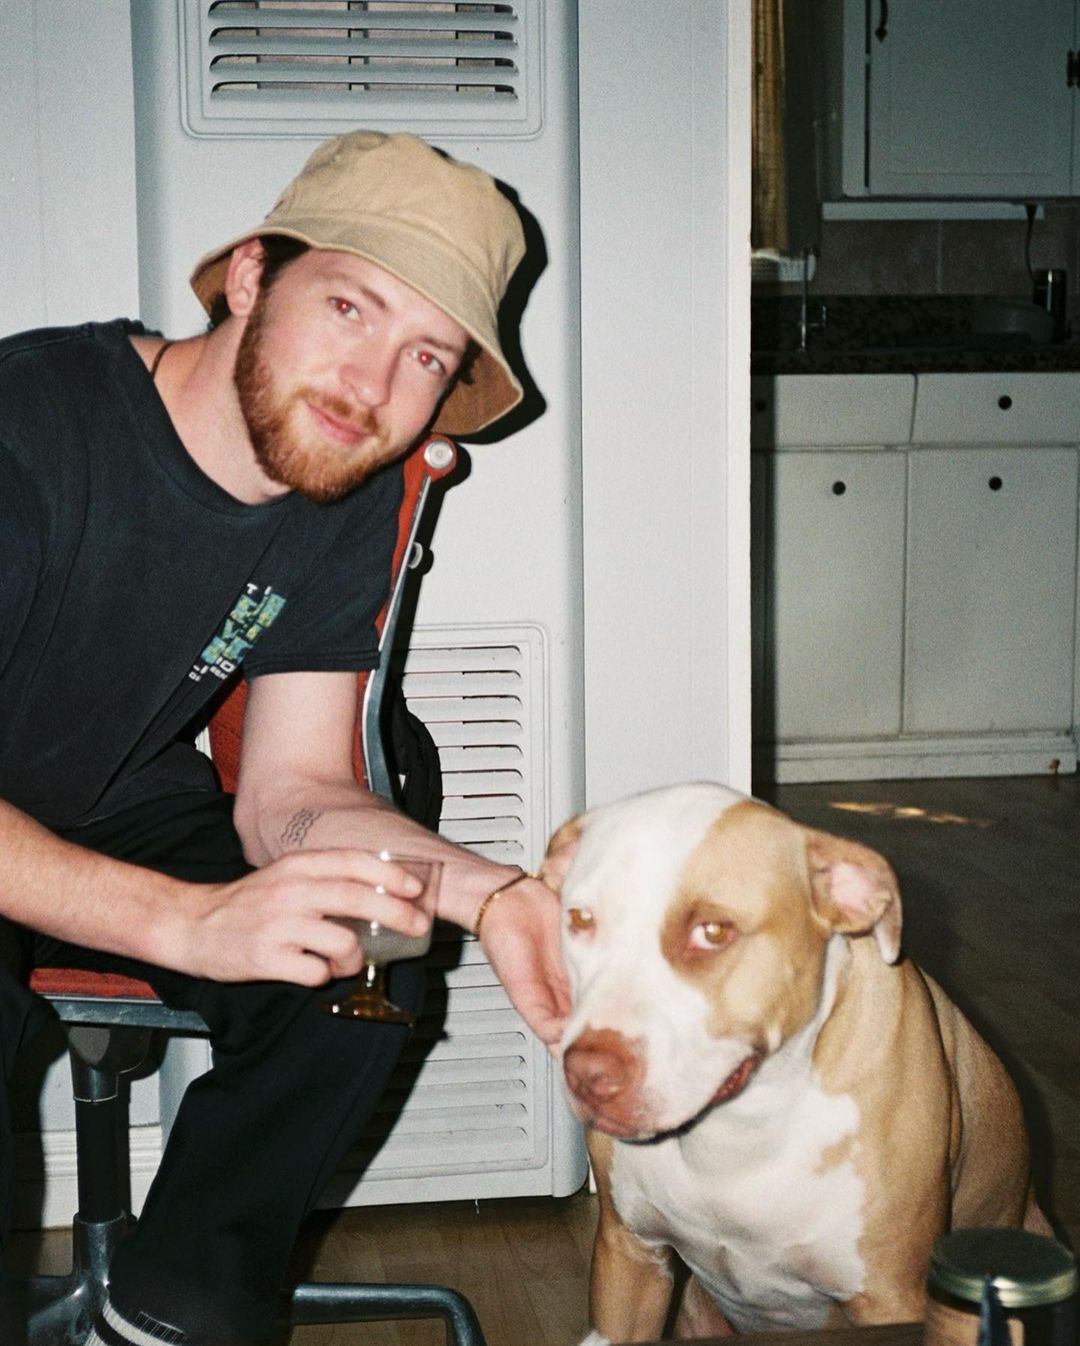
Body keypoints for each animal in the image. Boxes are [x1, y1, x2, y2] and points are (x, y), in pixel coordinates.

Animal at [541, 783, 1046, 1342]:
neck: (741, 1128)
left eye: (712, 931)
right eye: (580, 919)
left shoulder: (889, 1297)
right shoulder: (631, 1260)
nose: (587, 1074)